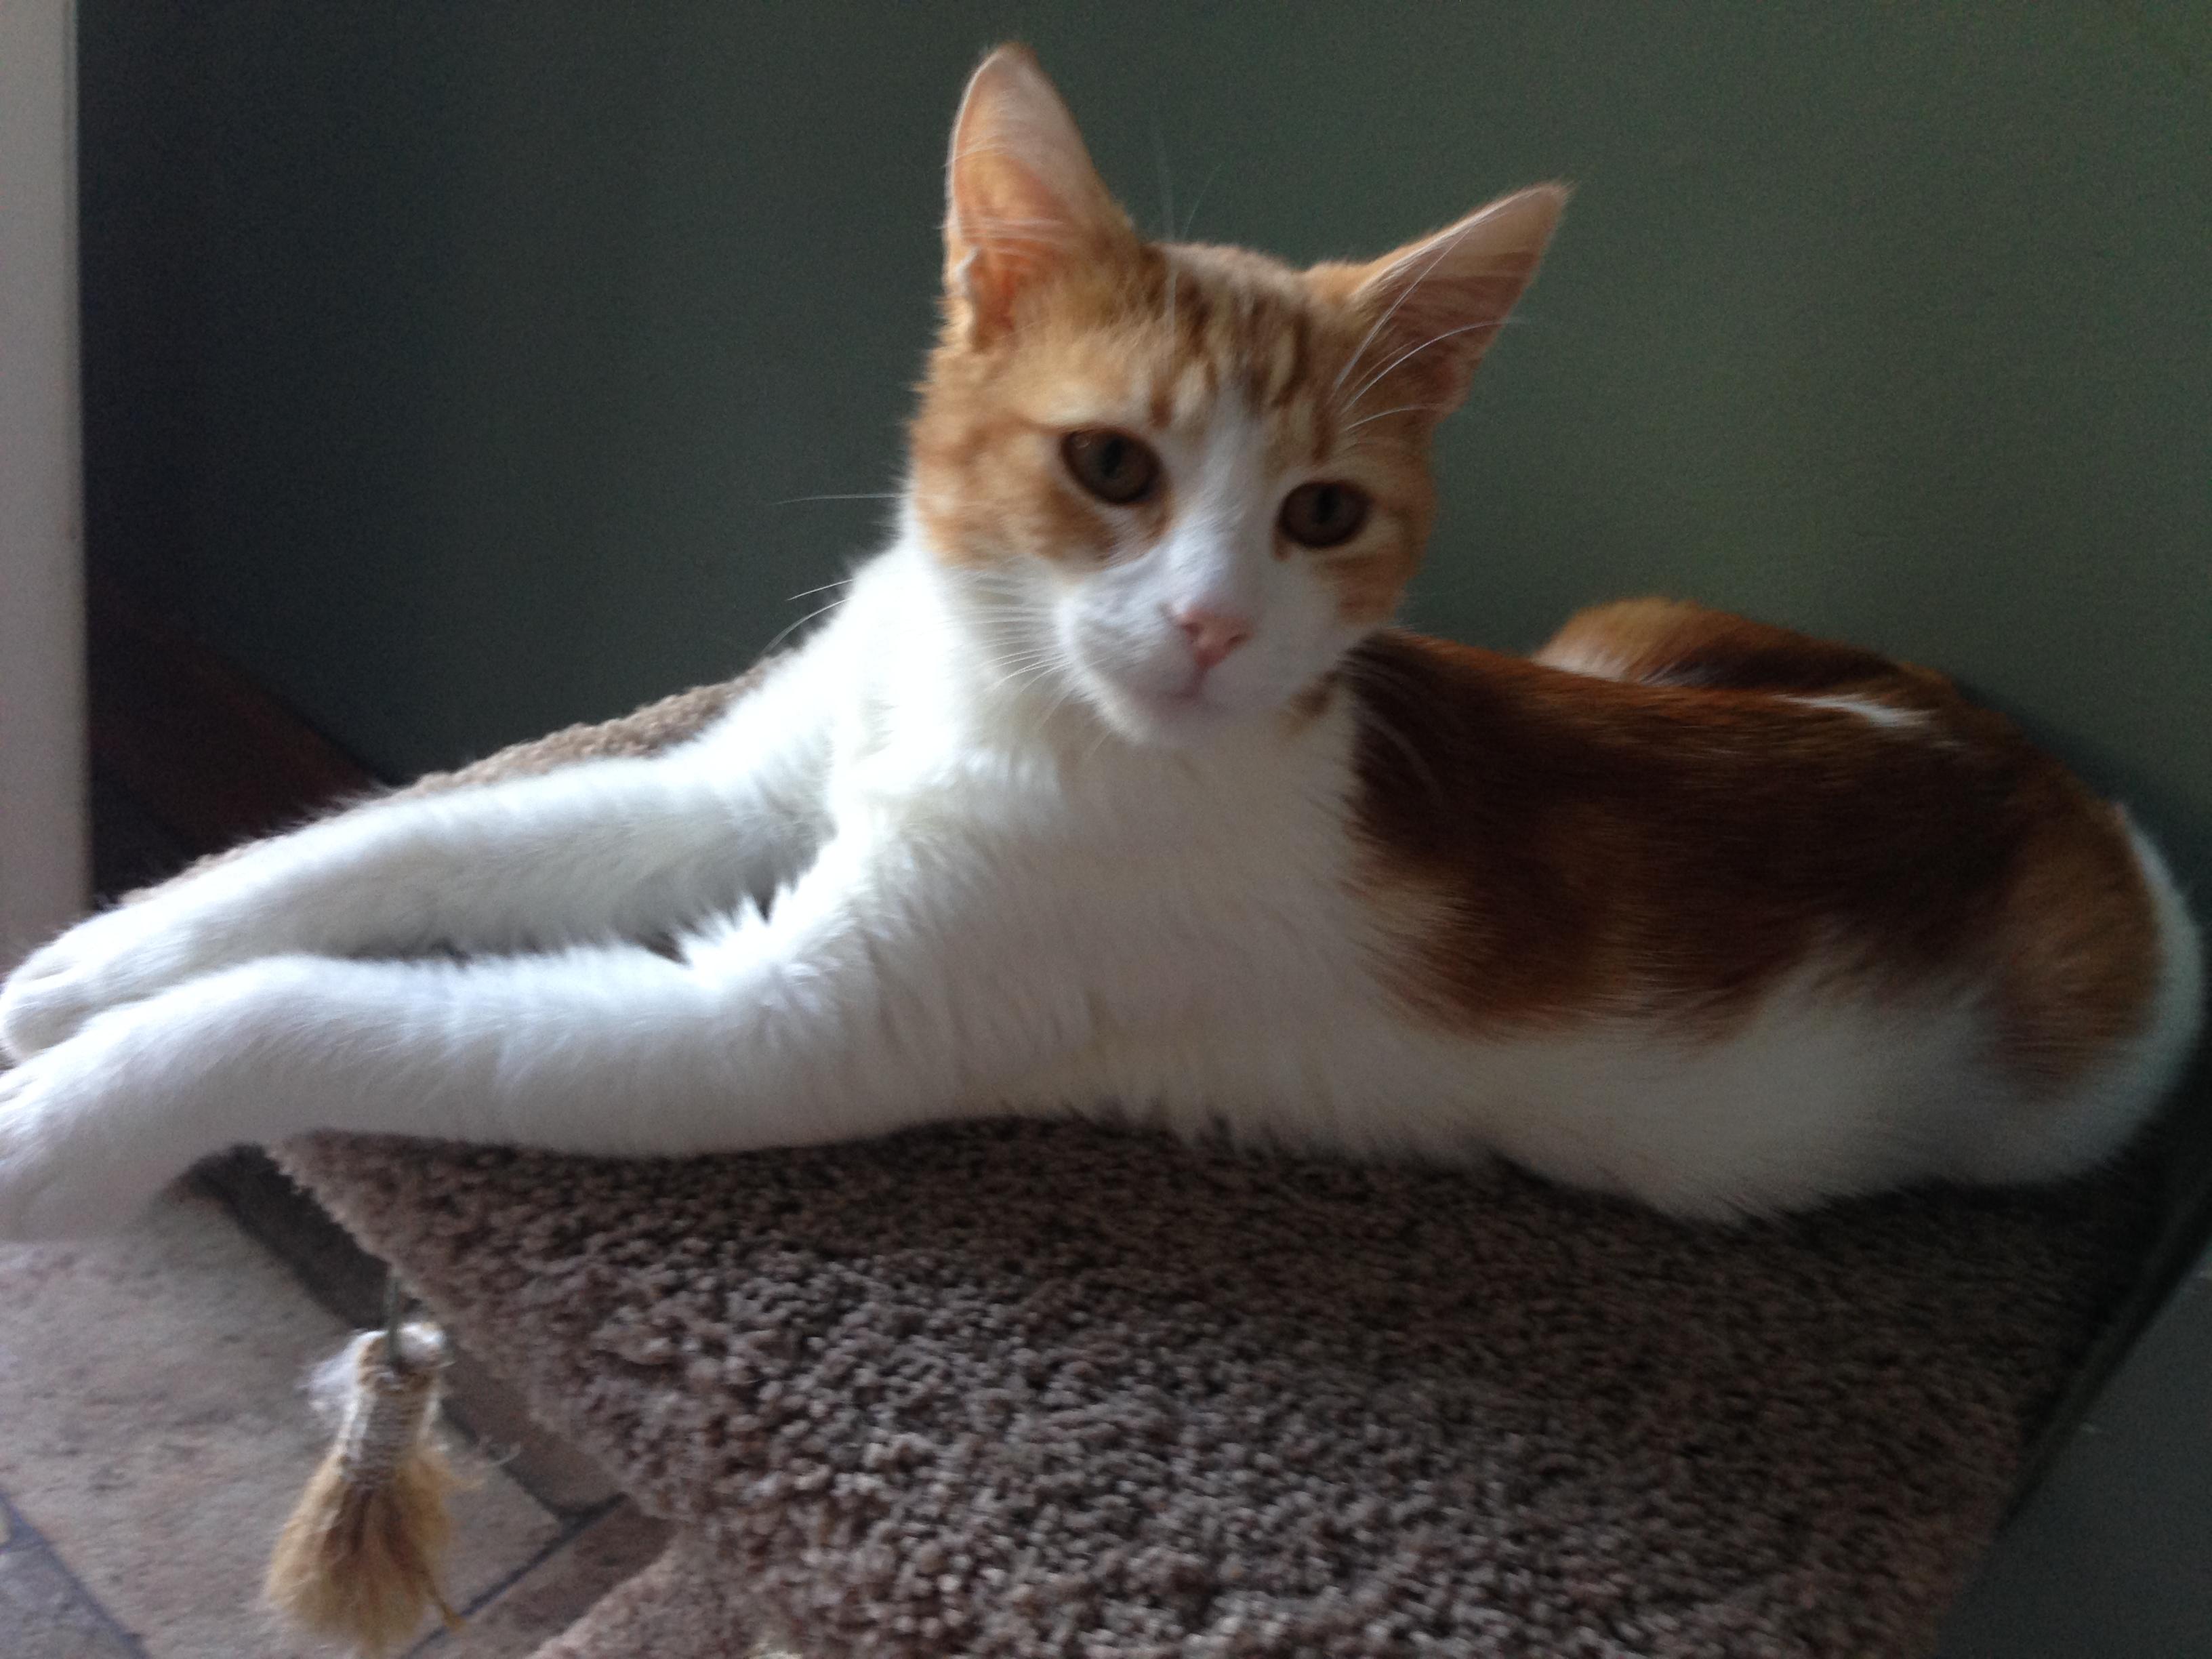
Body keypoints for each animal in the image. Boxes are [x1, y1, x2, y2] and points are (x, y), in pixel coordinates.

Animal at [0, 42, 2194, 1238]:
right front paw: (78, 965)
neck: (989, 678)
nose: (1213, 624)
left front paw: (63, 1125)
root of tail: (2048, 789)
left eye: (1323, 516)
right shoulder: (737, 783)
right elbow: (374, 849)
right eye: (1112, 467)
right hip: (1623, 631)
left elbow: (318, 1007)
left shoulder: (785, 1023)